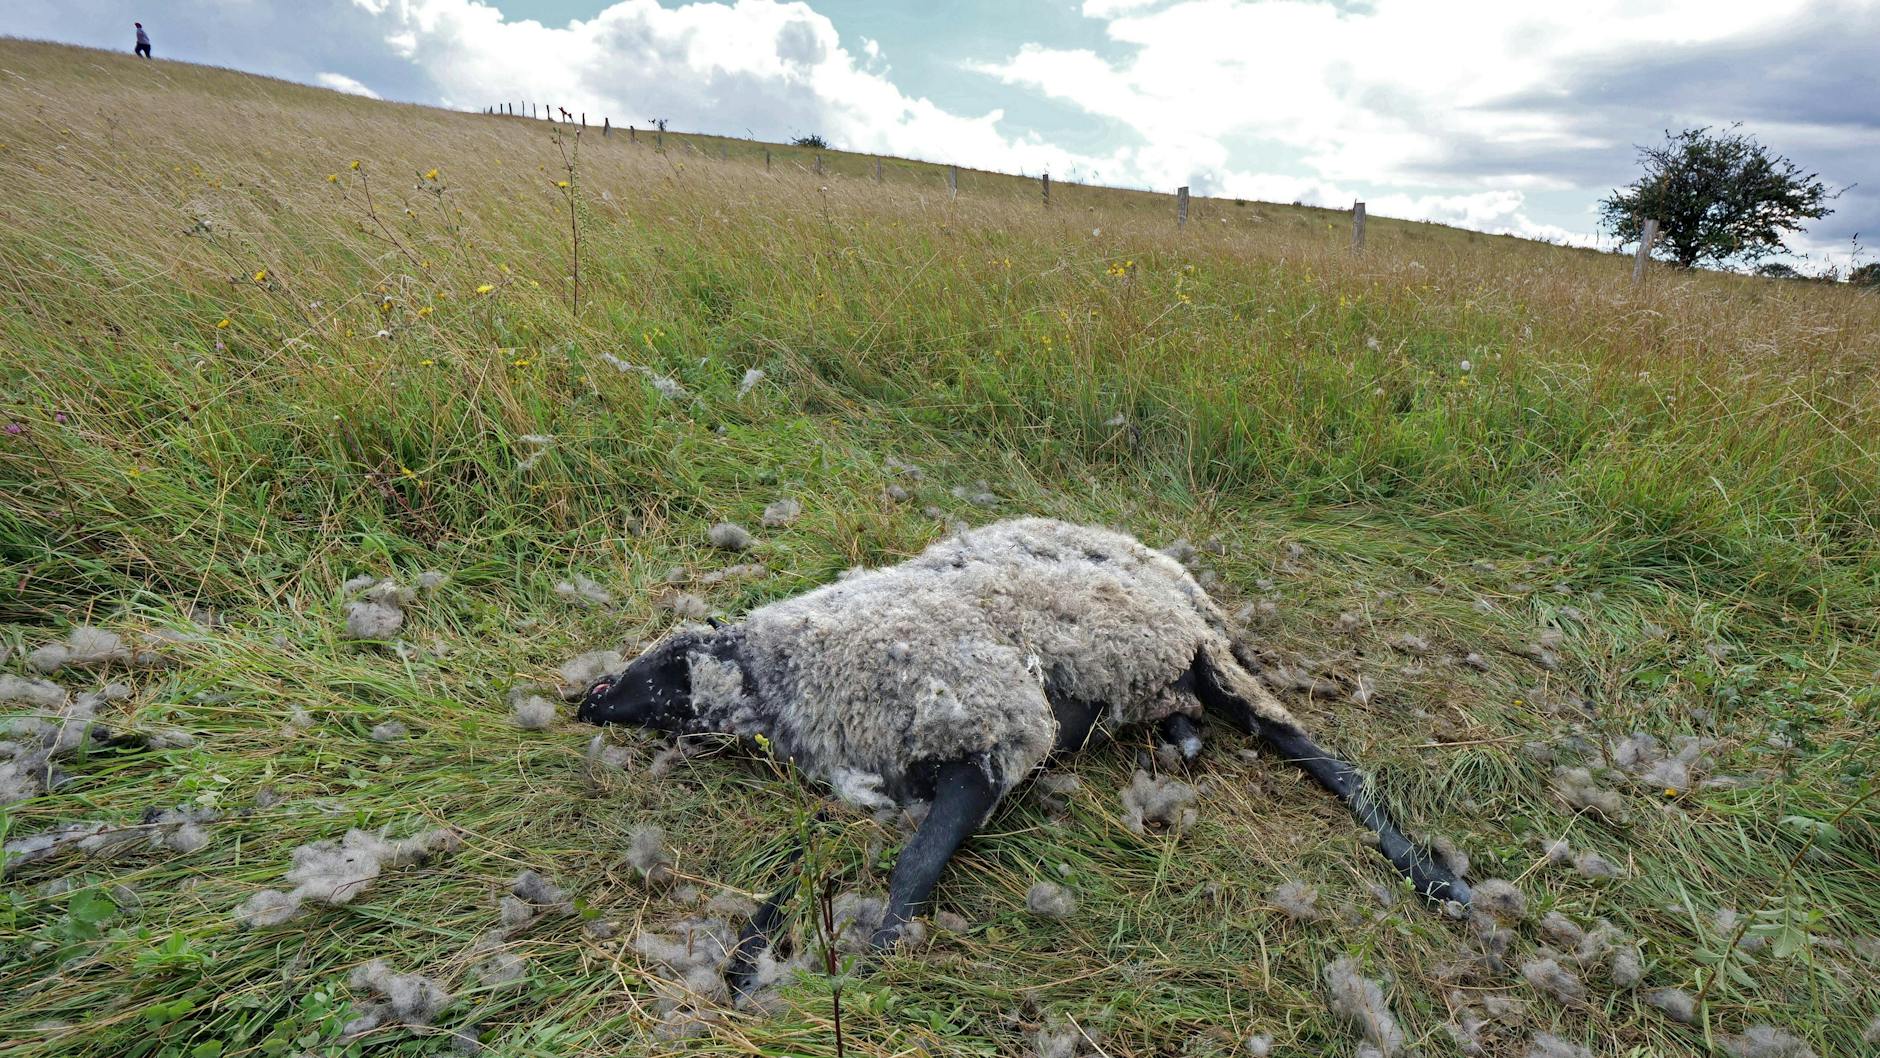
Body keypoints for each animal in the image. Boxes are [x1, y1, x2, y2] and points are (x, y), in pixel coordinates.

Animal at [575, 518, 1470, 987]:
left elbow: (915, 865)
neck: (817, 664)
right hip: (1155, 679)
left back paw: (1438, 880)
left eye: (667, 661)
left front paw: (876, 957)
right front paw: (747, 959)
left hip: (1206, 658)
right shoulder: (879, 779)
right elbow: (801, 863)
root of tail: (1171, 569)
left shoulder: (997, 736)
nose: (586, 699)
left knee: (1319, 756)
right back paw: (1180, 743)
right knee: (1183, 720)